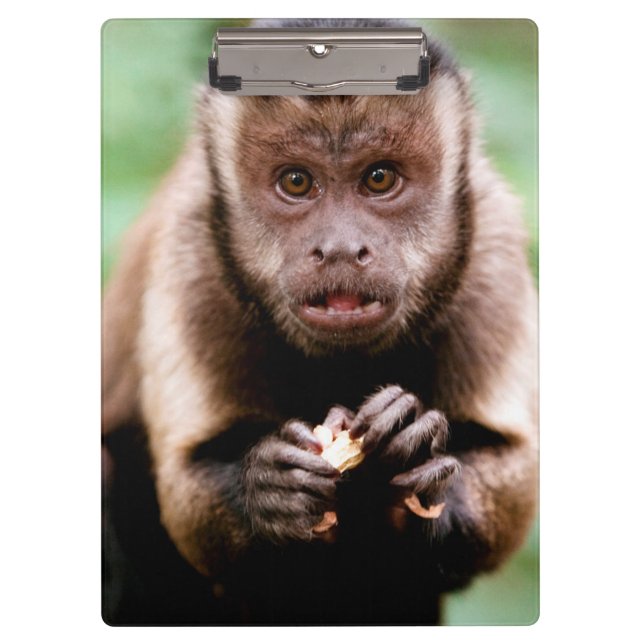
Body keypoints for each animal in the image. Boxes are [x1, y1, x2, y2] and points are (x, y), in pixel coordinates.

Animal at [102, 18, 538, 625]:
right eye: (296, 182)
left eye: (378, 179)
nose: (338, 249)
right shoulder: (194, 247)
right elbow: (186, 491)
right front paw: (267, 491)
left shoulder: (490, 237)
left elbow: (512, 469)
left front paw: (419, 451)